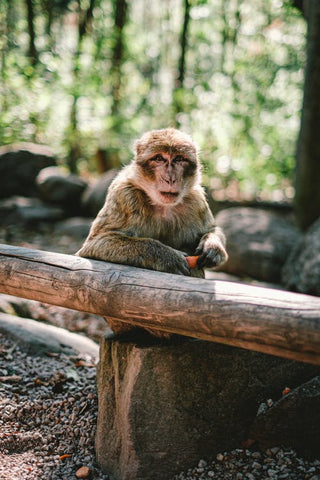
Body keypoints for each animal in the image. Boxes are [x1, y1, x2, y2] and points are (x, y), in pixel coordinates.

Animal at [76, 127, 228, 338]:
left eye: (179, 159)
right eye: (159, 158)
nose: (170, 178)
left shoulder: (196, 199)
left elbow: (211, 230)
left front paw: (212, 247)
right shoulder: (124, 195)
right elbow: (95, 244)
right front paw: (166, 256)